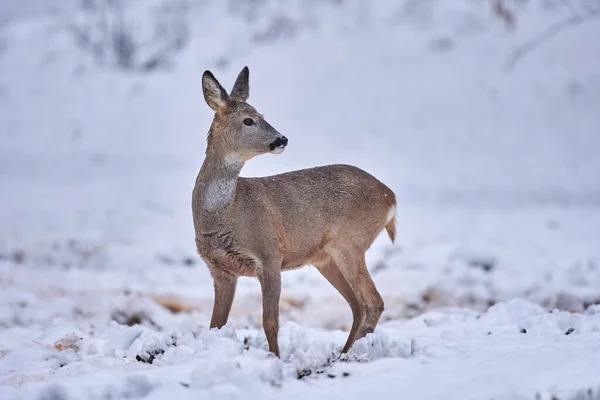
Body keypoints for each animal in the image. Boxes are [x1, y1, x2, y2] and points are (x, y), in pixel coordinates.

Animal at [193, 67, 398, 358]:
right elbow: (216, 325)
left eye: (262, 115)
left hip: (349, 243)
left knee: (373, 302)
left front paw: (275, 358)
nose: (282, 139)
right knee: (357, 305)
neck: (225, 213)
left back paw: (347, 356)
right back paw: (342, 353)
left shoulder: (269, 255)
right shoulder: (220, 270)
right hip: (326, 258)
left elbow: (270, 322)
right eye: (248, 120)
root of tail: (390, 197)